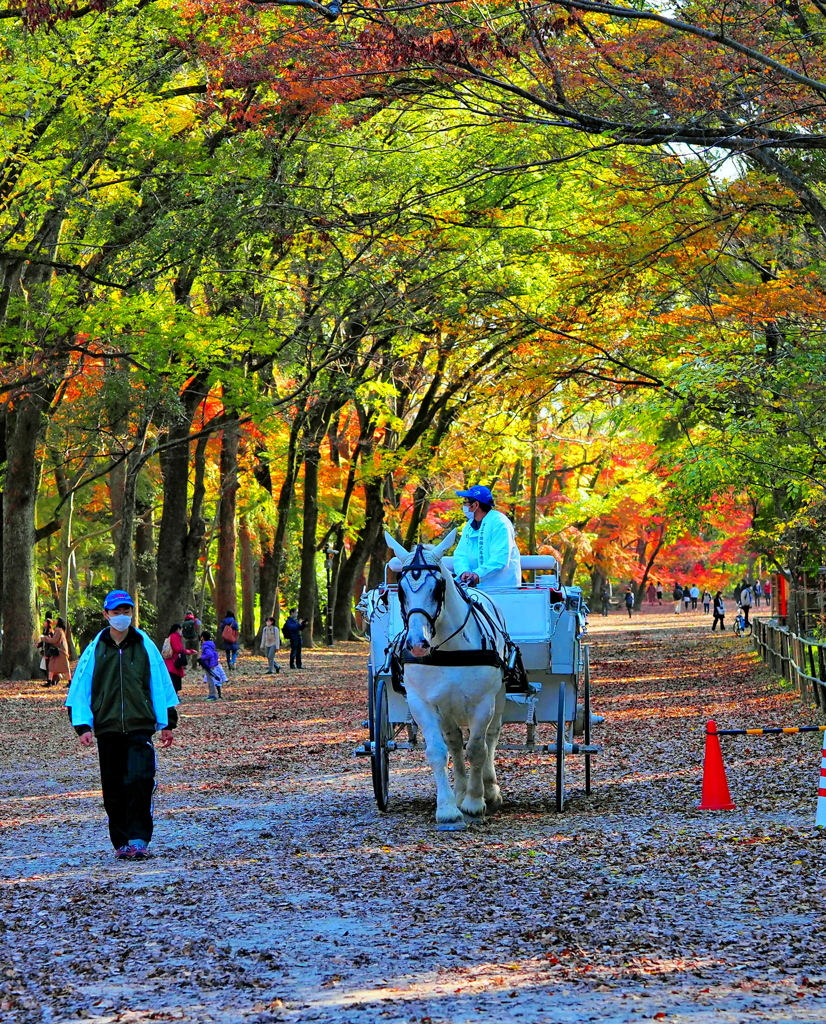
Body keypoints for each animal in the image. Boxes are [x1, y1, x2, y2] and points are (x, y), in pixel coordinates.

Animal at [386, 532, 509, 827]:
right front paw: (447, 807)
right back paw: (460, 791)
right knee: (453, 742)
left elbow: (477, 749)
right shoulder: (422, 703)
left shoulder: (482, 703)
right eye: (401, 589)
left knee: (491, 738)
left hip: (498, 698)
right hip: (446, 709)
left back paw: (488, 790)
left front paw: (475, 802)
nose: (417, 643)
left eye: (438, 586)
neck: (449, 649)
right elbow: (437, 752)